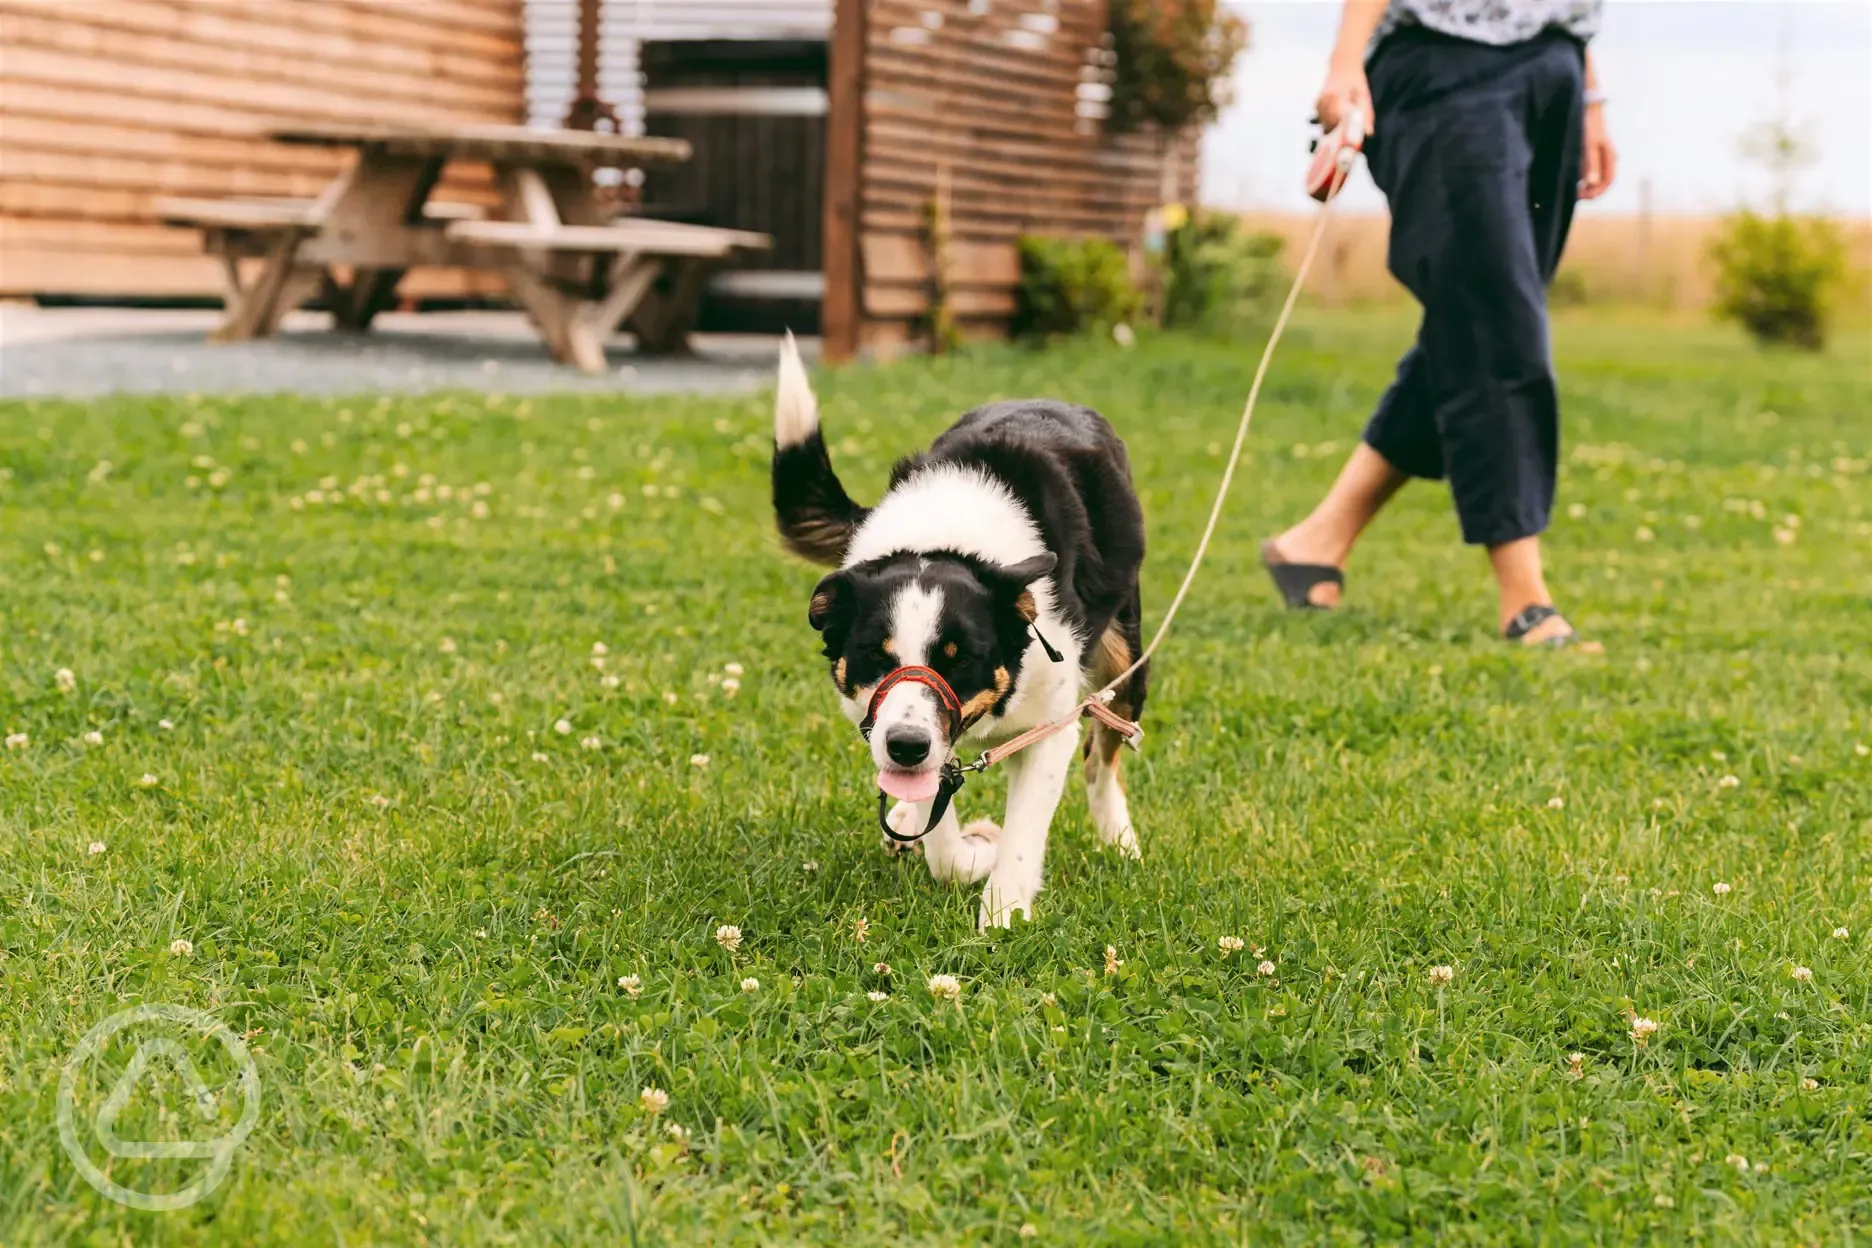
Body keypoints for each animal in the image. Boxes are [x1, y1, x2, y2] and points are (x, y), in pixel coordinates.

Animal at [767, 336, 1145, 931]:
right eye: (876, 655)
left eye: (960, 658)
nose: (906, 745)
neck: (948, 538)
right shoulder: (889, 726)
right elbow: (939, 835)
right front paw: (970, 852)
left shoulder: (1050, 728)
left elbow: (1023, 833)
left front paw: (1004, 911)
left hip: (1124, 654)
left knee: (1104, 750)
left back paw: (1118, 836)